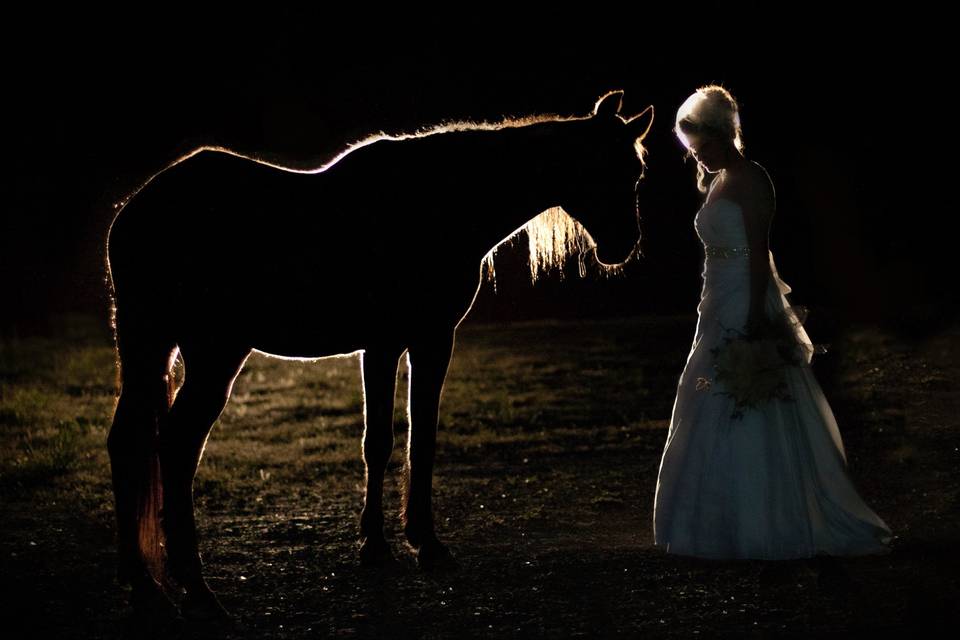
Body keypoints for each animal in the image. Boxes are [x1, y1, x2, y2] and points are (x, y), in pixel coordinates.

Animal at [109, 90, 656, 620]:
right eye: (608, 167)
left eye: (636, 173)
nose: (623, 246)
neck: (440, 204)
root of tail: (135, 211)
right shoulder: (428, 340)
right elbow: (416, 438)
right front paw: (425, 544)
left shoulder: (384, 347)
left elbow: (380, 442)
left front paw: (376, 544)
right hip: (214, 354)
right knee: (175, 447)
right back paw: (196, 590)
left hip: (149, 349)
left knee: (128, 443)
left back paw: (146, 587)